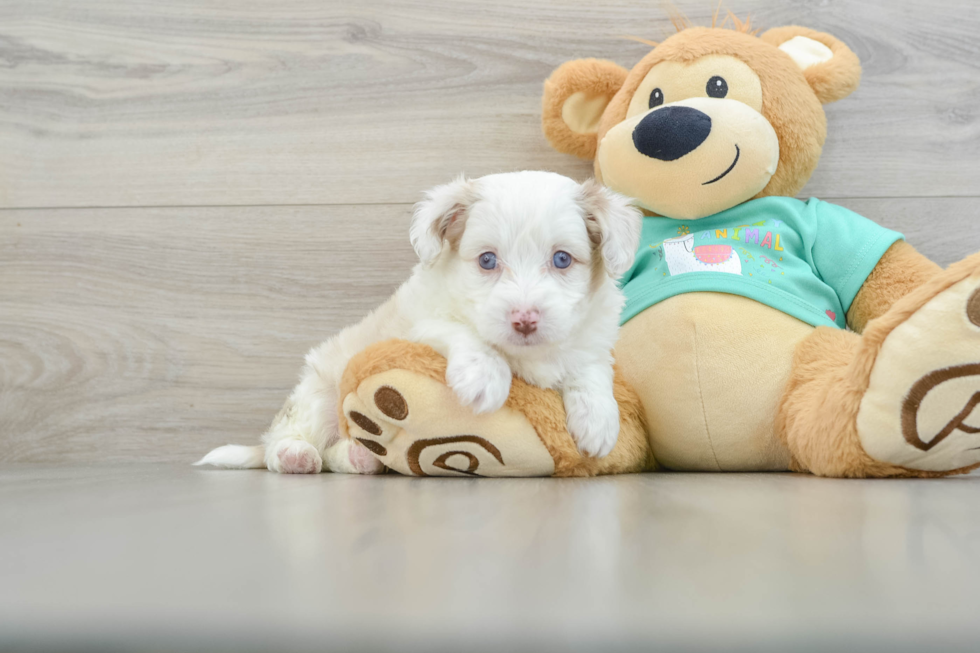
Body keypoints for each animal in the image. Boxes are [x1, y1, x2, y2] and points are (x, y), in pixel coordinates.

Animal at [199, 169, 644, 474]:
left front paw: (599, 420)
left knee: (338, 451)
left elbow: (590, 367)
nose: (524, 320)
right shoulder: (420, 323)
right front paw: (485, 377)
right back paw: (295, 454)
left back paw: (360, 456)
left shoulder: (591, 336)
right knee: (292, 437)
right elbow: (461, 331)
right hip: (317, 392)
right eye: (487, 260)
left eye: (562, 259)